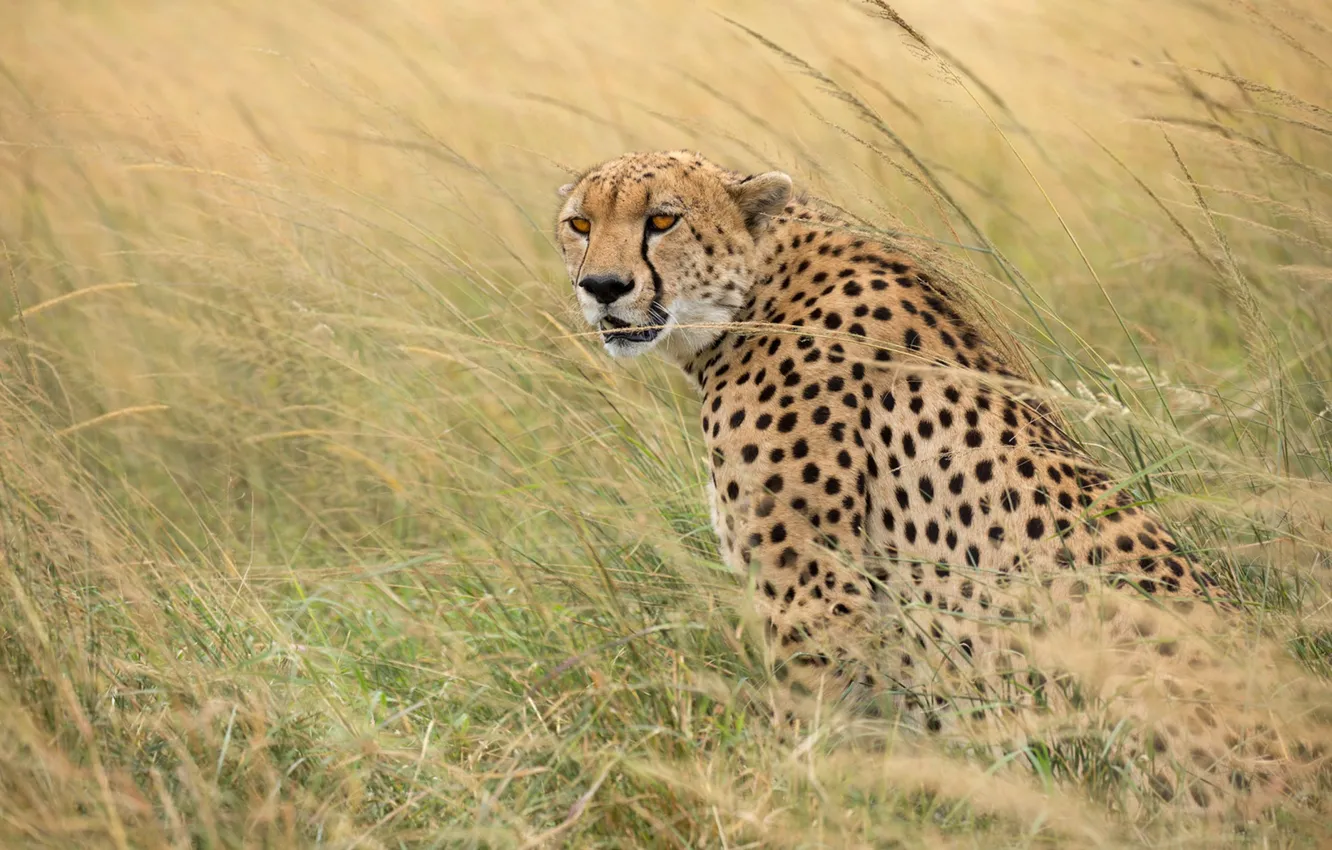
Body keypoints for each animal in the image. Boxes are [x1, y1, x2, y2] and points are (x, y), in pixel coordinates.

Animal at [552, 149, 1327, 819]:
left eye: (663, 220)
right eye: (580, 225)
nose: (603, 288)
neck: (756, 289)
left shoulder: (814, 595)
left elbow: (811, 736)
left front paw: (793, 804)